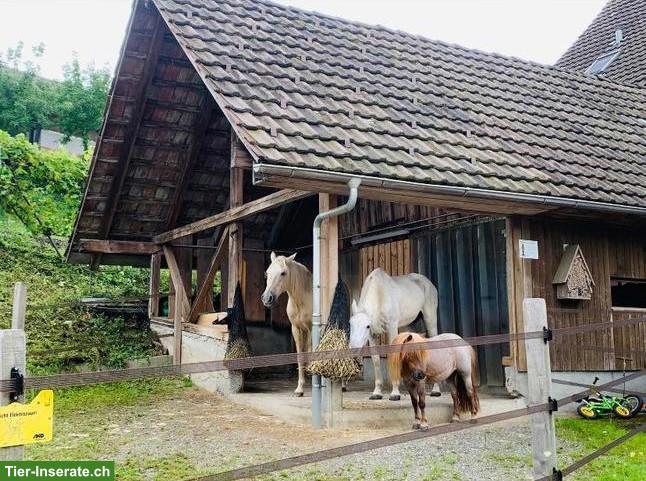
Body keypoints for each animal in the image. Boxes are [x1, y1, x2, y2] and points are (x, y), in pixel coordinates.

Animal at [261, 252, 312, 397]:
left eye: (283, 273)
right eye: (267, 273)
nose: (267, 298)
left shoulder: (312, 328)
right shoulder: (297, 329)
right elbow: (301, 355)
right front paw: (300, 388)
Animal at [348, 268, 438, 401]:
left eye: (367, 326)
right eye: (350, 323)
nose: (353, 348)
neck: (380, 295)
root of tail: (429, 283)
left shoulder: (391, 328)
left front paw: (395, 393)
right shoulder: (372, 335)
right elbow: (376, 360)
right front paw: (377, 393)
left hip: (430, 319)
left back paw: (436, 390)